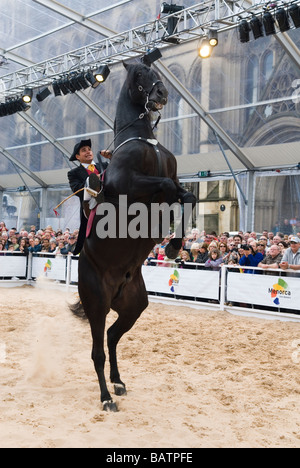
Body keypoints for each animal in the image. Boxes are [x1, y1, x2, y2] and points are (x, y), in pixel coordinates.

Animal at [72, 61, 195, 410]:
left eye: (152, 68)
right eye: (139, 74)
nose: (162, 93)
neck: (142, 139)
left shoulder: (173, 178)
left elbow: (186, 195)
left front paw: (175, 245)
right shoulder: (132, 185)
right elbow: (170, 189)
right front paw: (172, 243)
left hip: (133, 306)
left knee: (112, 336)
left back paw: (117, 382)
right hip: (97, 303)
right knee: (97, 351)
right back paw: (105, 397)